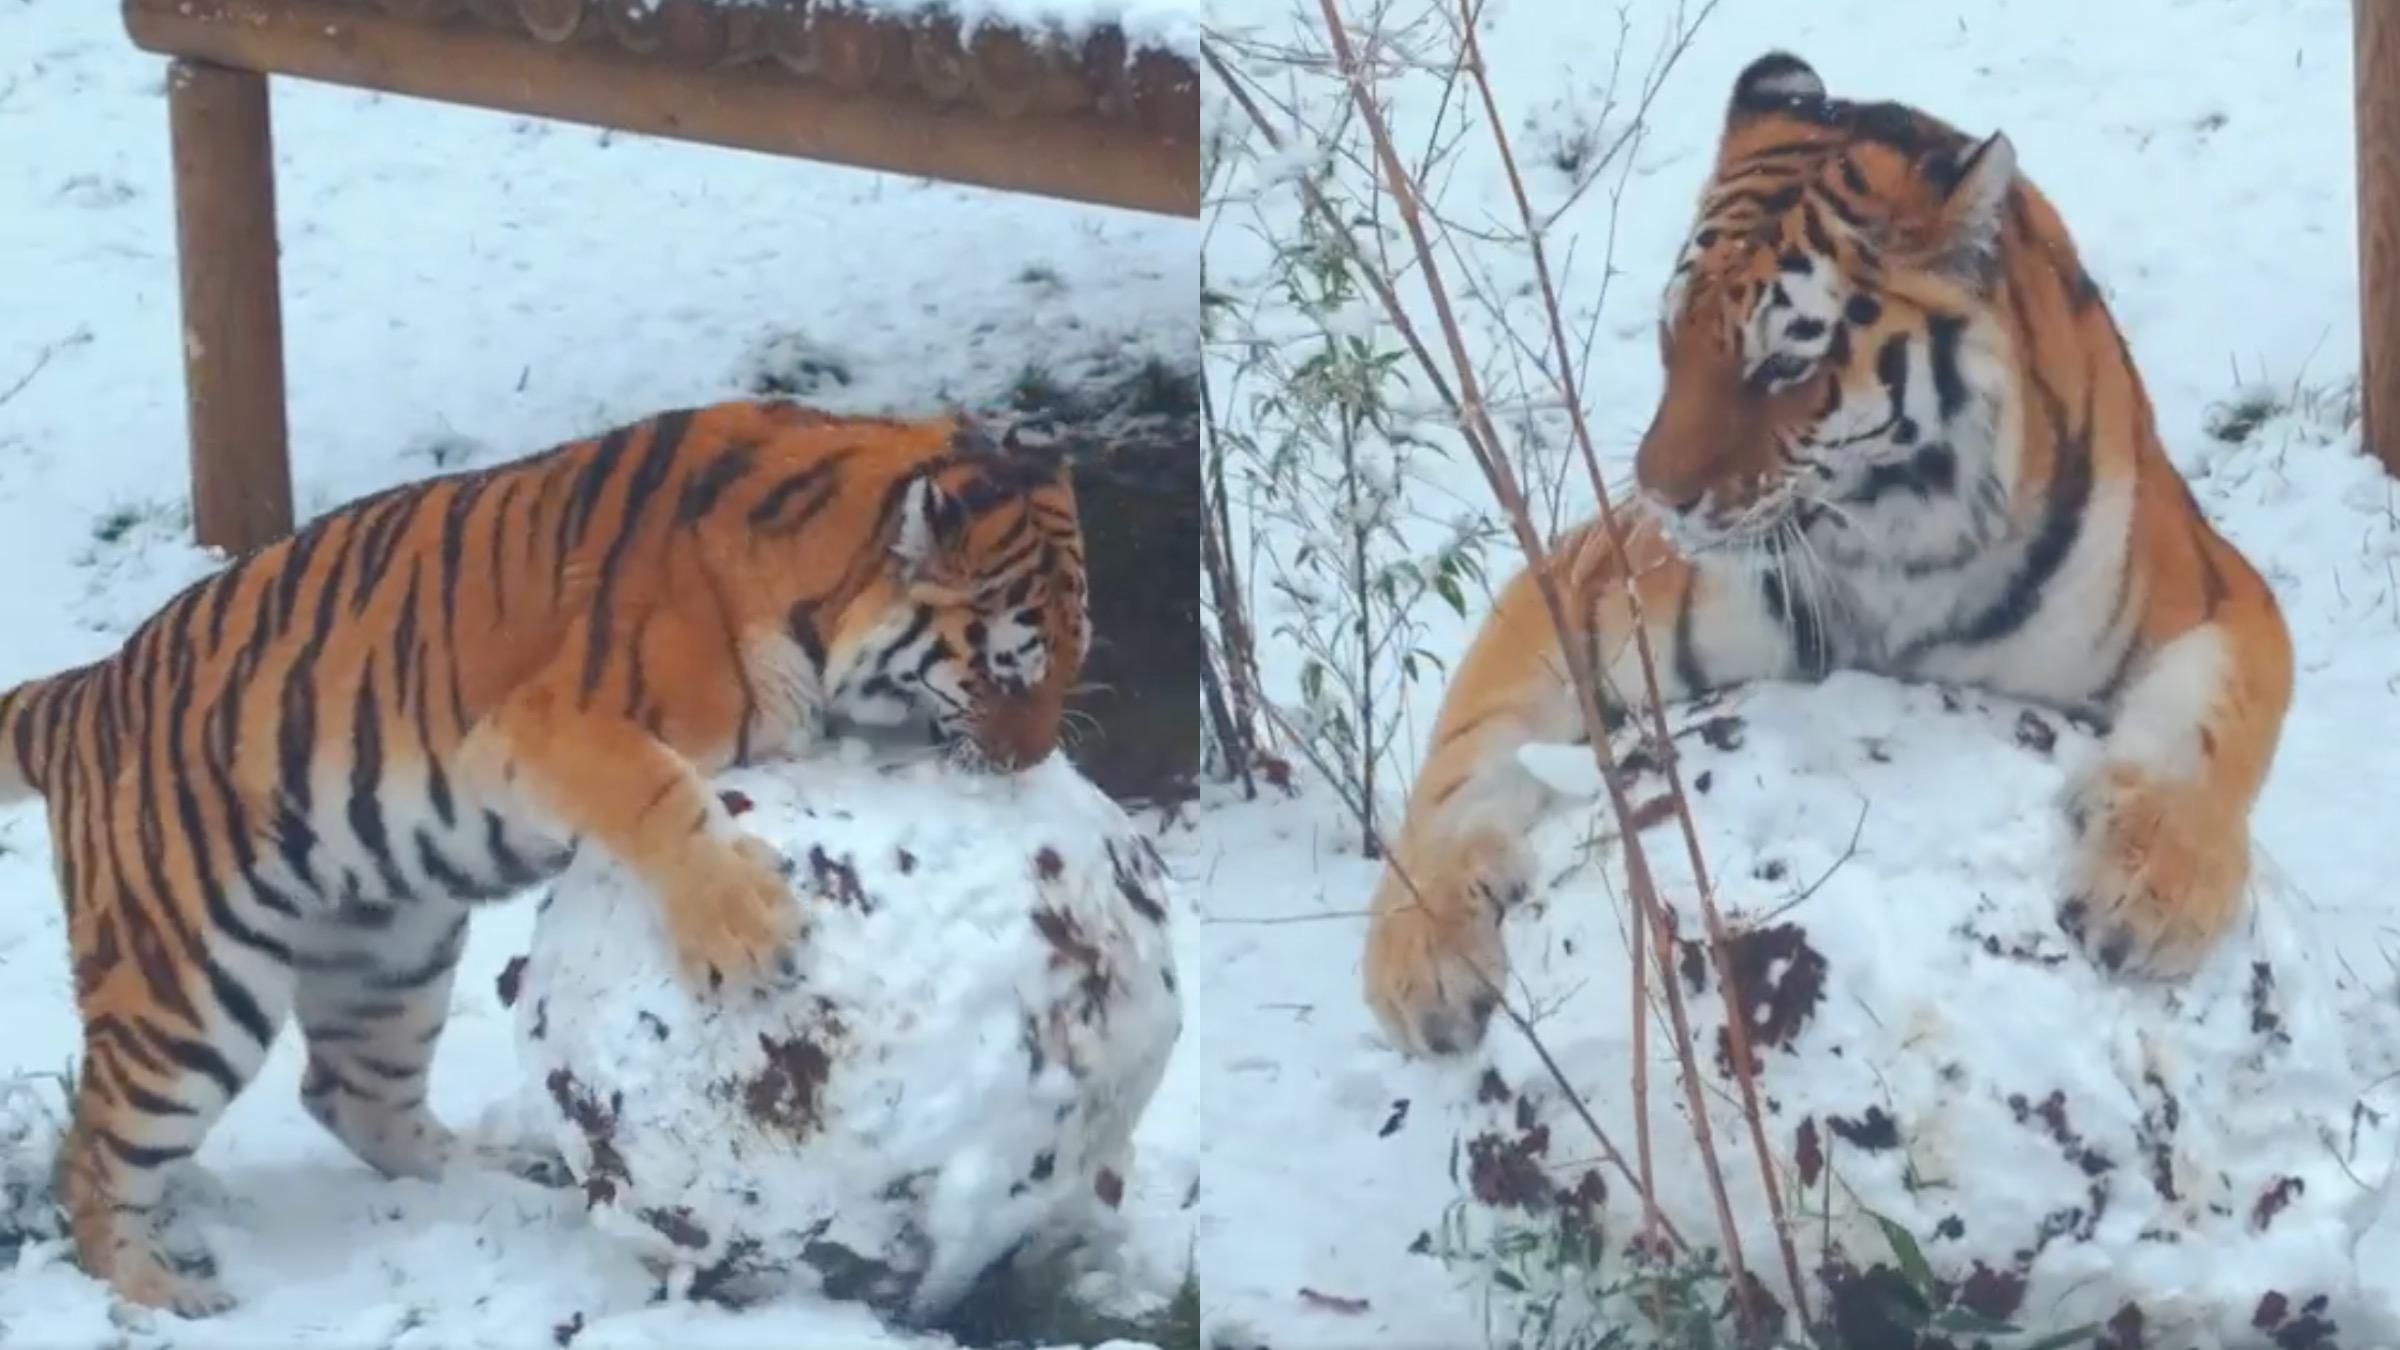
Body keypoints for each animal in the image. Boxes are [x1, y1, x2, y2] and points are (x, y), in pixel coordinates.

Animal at [0, 397, 1090, 1314]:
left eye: (1071, 660)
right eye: (1008, 666)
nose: (1032, 760)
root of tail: (83, 691)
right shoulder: (541, 727)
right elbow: (658, 794)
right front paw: (748, 930)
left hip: (389, 949)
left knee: (353, 1096)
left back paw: (497, 1177)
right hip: (187, 991)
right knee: (95, 1154)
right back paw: (158, 1292)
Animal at [1362, 51, 2294, 1058]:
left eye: (1784, 367)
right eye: (1672, 332)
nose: (1659, 496)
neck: (1900, 546)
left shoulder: (2218, 591)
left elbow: (2208, 727)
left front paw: (2149, 894)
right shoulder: (1586, 582)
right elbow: (1465, 757)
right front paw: (1420, 959)